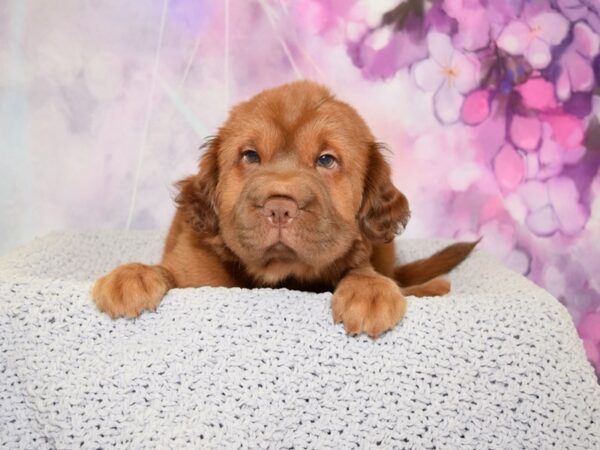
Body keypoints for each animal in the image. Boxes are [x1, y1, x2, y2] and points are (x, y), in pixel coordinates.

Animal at [94, 81, 476, 336]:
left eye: (326, 160)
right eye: (250, 156)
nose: (279, 208)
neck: (281, 276)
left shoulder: (362, 256)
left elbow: (361, 271)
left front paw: (369, 292)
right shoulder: (194, 268)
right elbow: (170, 273)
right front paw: (133, 275)